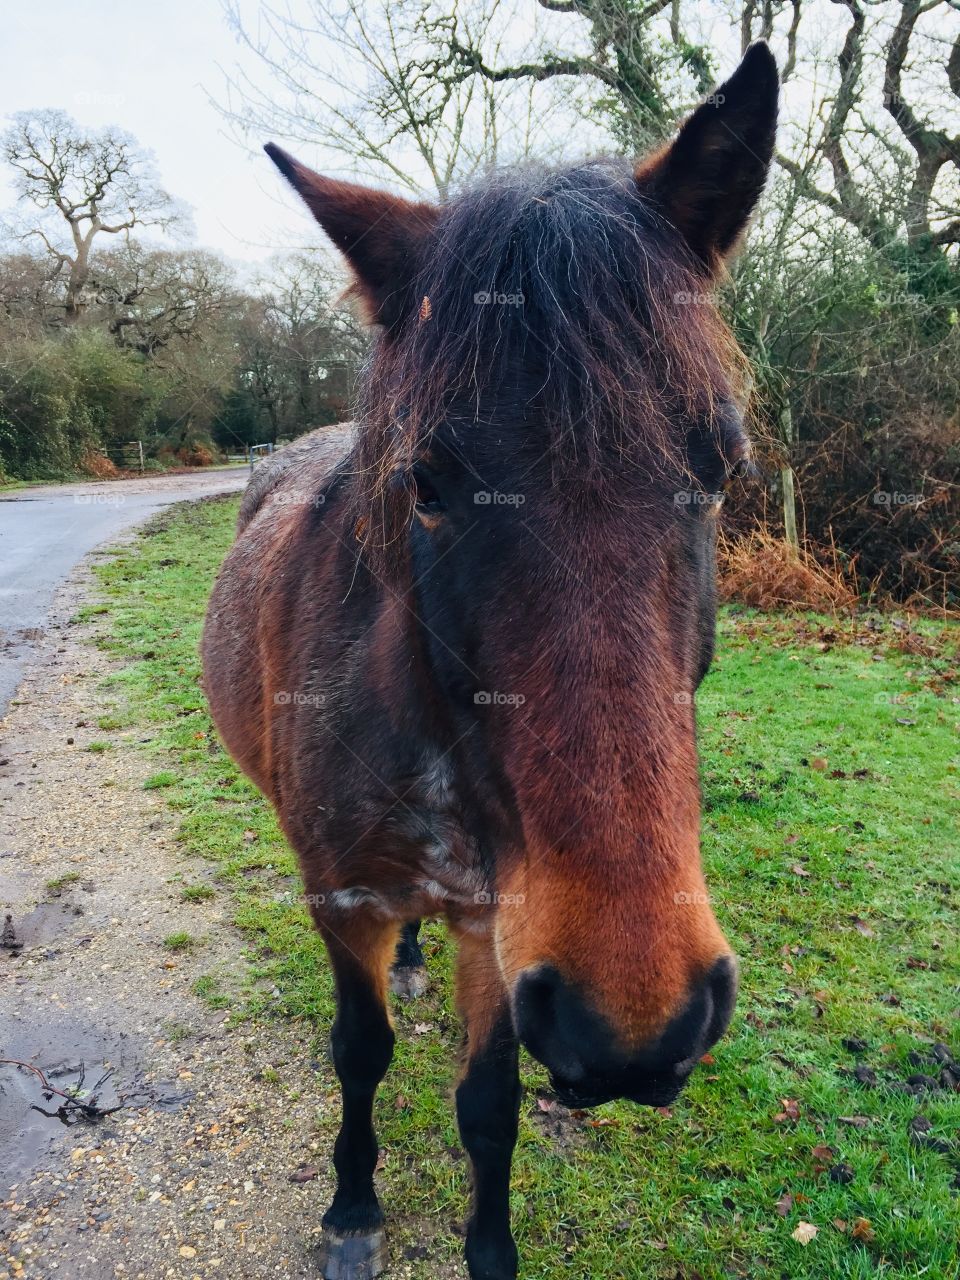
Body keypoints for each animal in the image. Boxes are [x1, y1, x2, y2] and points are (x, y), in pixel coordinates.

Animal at [202, 42, 778, 1280]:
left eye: (723, 466)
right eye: (425, 480)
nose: (637, 1020)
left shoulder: (497, 919)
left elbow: (490, 1104)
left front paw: (492, 1246)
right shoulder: (344, 899)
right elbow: (359, 1050)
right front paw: (352, 1209)